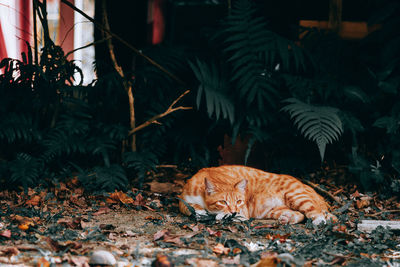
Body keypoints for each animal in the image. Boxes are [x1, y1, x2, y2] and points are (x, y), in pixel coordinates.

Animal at [179, 165, 338, 226]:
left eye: (239, 201)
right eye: (223, 202)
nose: (234, 211)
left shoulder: (243, 211)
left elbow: (229, 215)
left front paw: (222, 215)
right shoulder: (183, 199)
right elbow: (188, 207)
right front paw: (199, 211)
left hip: (297, 196)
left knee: (315, 212)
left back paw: (319, 221)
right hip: (271, 210)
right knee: (300, 215)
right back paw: (287, 218)